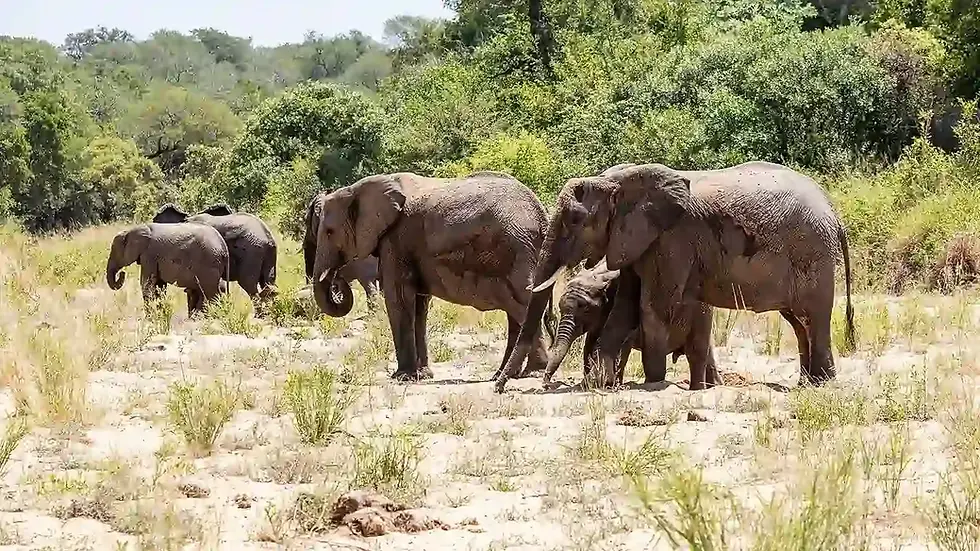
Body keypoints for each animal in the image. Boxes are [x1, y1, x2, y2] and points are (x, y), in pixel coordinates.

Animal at [309, 170, 555, 381]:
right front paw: (423, 375)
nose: (338, 281)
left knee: (522, 304)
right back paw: (503, 374)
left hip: (517, 249)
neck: (355, 189)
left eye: (329, 232)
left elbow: (398, 297)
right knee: (516, 309)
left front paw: (402, 377)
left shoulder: (397, 239)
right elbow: (419, 304)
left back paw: (531, 372)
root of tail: (542, 214)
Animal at [544, 258, 717, 389]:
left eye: (585, 310)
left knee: (697, 350)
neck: (598, 277)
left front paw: (612, 384)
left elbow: (623, 344)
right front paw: (589, 383)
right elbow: (590, 342)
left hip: (701, 312)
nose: (546, 384)